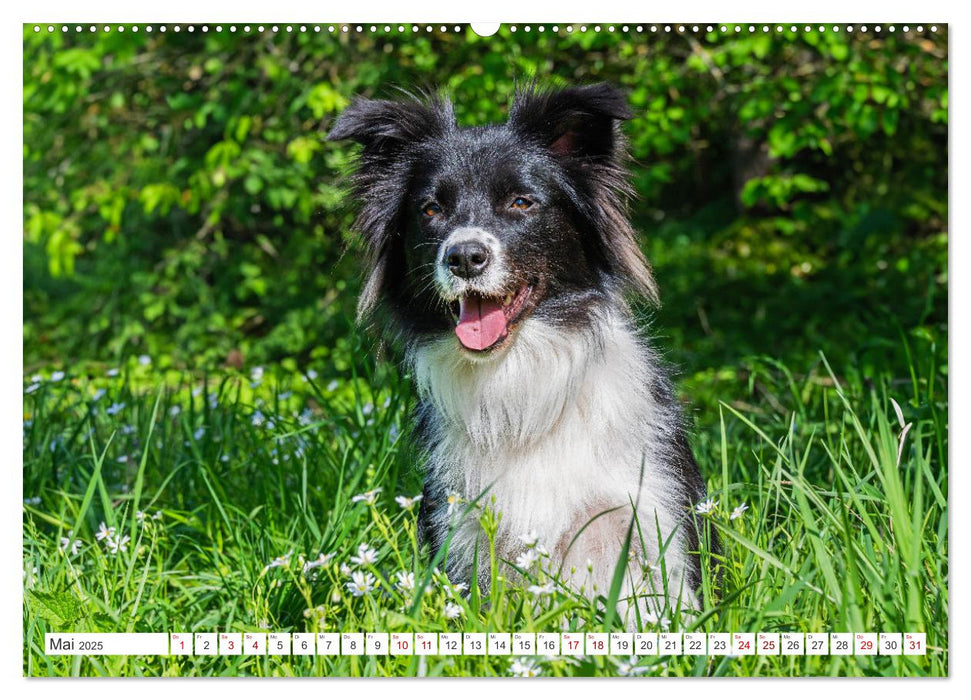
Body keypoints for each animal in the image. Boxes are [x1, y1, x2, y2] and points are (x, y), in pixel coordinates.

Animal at [326, 85, 712, 620]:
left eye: (521, 202)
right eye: (431, 210)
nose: (464, 257)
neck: (517, 378)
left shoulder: (650, 511)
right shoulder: (463, 532)